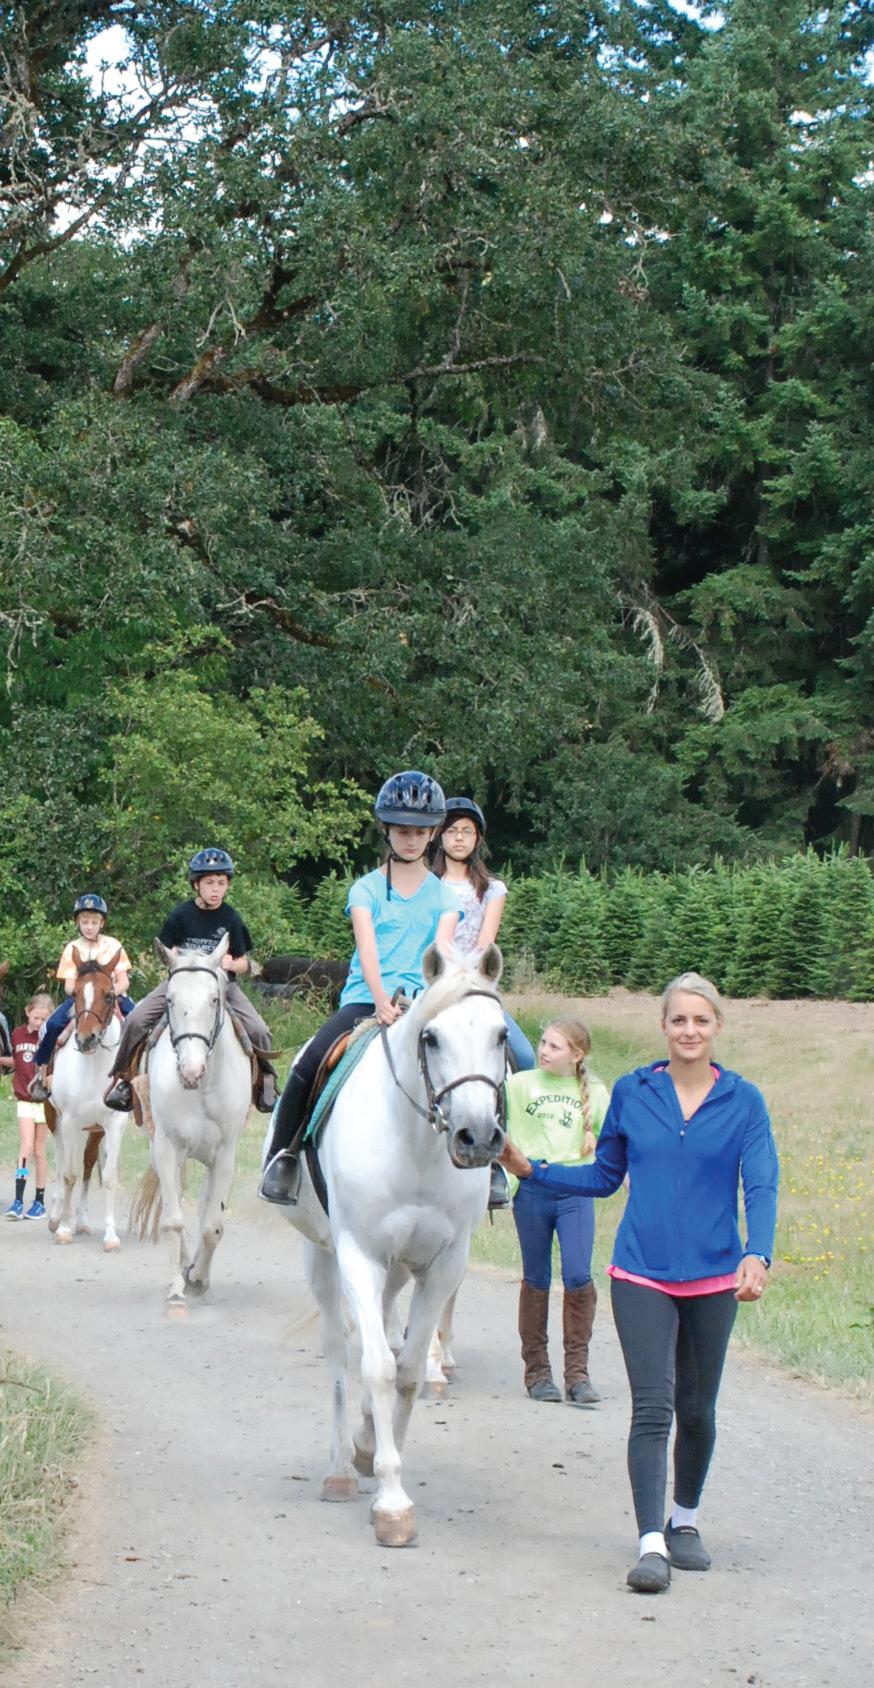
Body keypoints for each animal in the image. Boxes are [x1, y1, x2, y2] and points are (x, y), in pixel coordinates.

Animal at [48, 947, 129, 1249]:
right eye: (75, 995)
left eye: (109, 995)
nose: (86, 1039)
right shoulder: (69, 1121)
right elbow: (68, 1174)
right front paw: (64, 1229)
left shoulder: (114, 1124)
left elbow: (108, 1177)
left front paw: (111, 1235)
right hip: (55, 1120)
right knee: (61, 1163)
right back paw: (56, 1217)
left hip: (94, 1130)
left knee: (87, 1164)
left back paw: (81, 1221)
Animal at [130, 936, 252, 1316]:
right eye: (170, 999)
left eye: (214, 999)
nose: (190, 1071)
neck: (203, 1087)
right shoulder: (168, 1149)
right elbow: (173, 1220)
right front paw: (177, 1288)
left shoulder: (226, 1156)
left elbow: (212, 1226)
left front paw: (198, 1280)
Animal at [274, 942, 507, 1547]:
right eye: (432, 1037)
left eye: (501, 1035)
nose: (476, 1138)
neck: (416, 1145)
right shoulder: (358, 1255)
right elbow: (377, 1368)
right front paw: (392, 1502)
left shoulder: (443, 1266)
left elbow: (406, 1372)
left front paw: (383, 1459)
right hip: (324, 1256)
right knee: (340, 1351)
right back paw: (339, 1468)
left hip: (397, 1269)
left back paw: (361, 1445)